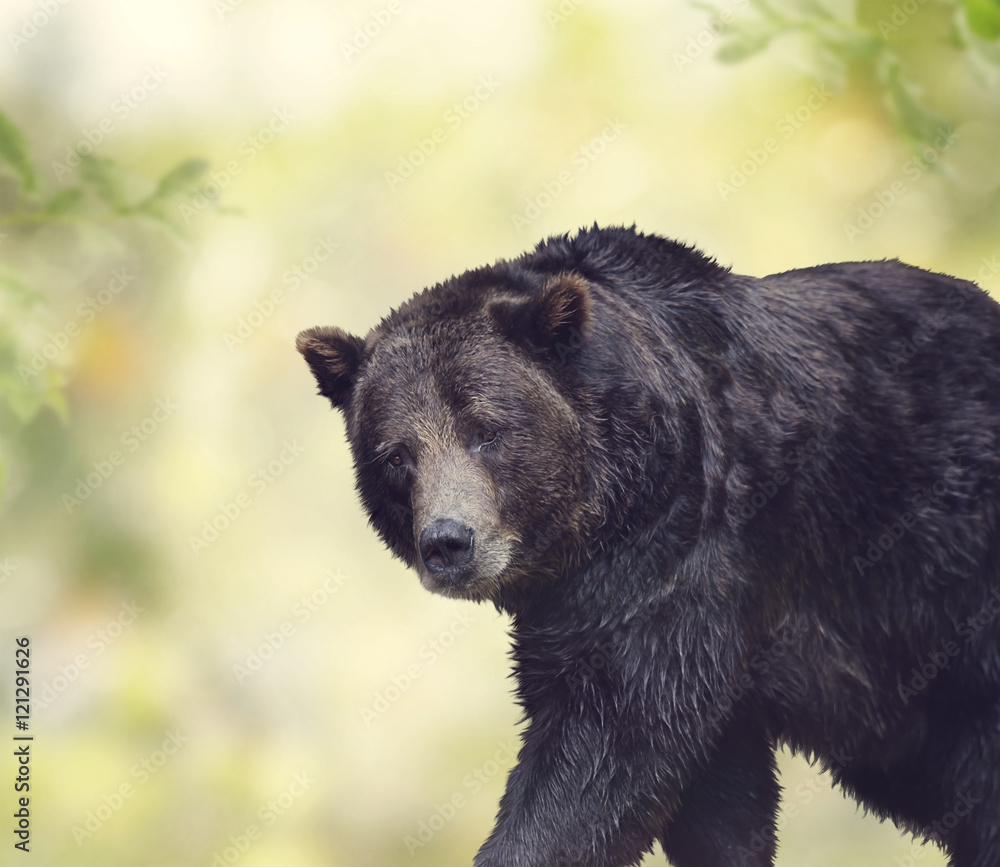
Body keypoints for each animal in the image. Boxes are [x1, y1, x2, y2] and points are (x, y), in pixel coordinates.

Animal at [296, 225, 1000, 867]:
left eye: (486, 431)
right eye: (396, 456)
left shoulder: (681, 555)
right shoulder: (582, 615)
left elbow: (610, 746)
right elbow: (715, 796)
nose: (447, 541)